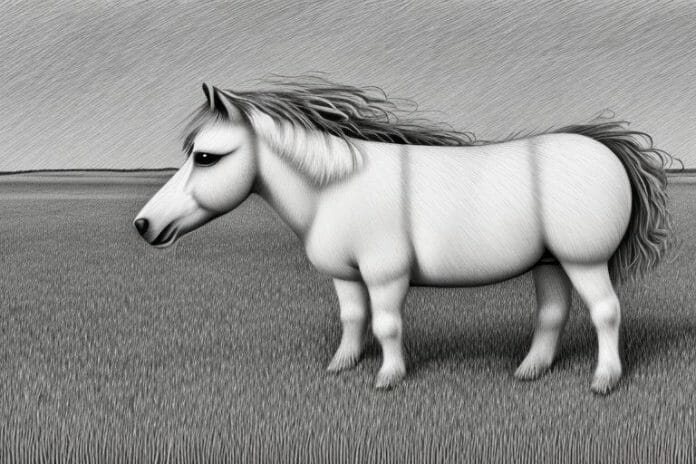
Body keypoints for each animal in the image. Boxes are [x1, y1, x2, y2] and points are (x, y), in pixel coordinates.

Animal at [134, 78, 672, 394]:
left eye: (206, 157)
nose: (143, 226)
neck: (336, 188)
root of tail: (603, 148)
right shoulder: (347, 276)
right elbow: (353, 319)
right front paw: (341, 365)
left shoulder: (385, 274)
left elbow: (387, 325)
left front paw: (387, 377)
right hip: (550, 263)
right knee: (553, 314)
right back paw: (530, 370)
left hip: (584, 261)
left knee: (606, 313)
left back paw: (604, 380)